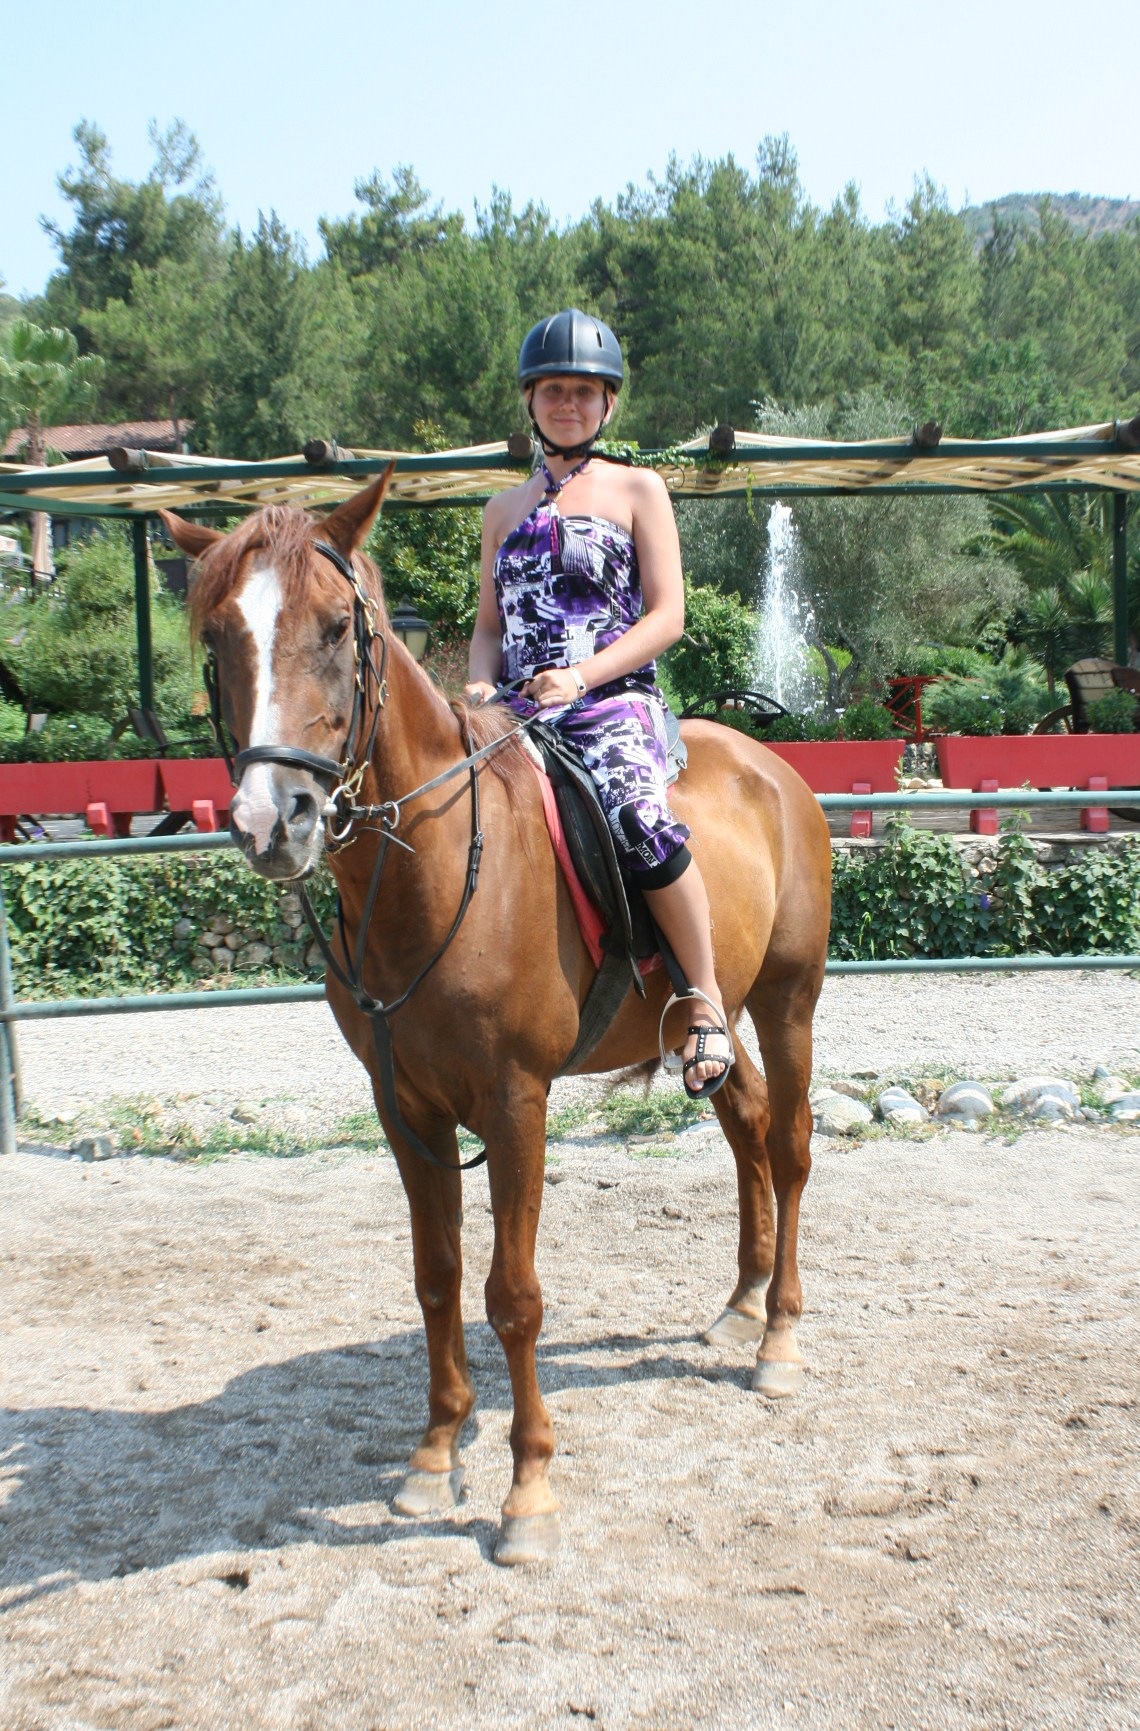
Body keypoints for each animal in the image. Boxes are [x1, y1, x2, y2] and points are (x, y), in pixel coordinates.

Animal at [160, 472, 832, 1566]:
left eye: (340, 626)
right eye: (219, 637)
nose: (274, 821)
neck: (433, 875)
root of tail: (770, 765)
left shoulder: (517, 1104)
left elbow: (511, 1297)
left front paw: (526, 1492)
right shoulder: (407, 1110)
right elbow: (437, 1277)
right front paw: (434, 1456)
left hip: (787, 999)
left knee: (794, 1144)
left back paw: (777, 1336)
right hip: (715, 1019)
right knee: (748, 1127)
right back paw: (738, 1306)